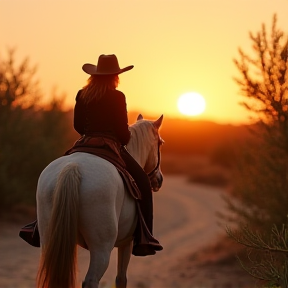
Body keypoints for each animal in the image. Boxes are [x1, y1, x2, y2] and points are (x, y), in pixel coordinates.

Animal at [35, 113, 164, 288]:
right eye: (160, 143)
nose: (159, 179)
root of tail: (72, 168)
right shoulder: (126, 242)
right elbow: (121, 279)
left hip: (50, 239)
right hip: (101, 249)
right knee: (91, 280)